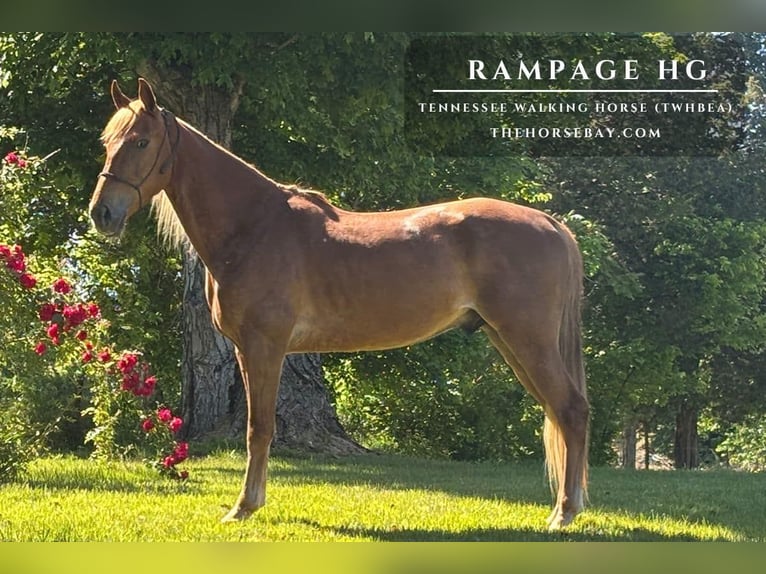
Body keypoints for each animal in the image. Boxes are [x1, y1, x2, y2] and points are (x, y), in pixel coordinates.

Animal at [88, 78, 589, 530]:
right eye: (107, 142)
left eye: (141, 141)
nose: (102, 214)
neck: (254, 226)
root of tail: (550, 222)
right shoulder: (245, 352)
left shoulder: (264, 346)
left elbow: (259, 428)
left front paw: (244, 507)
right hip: (508, 340)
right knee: (558, 411)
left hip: (527, 340)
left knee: (571, 409)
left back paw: (564, 514)